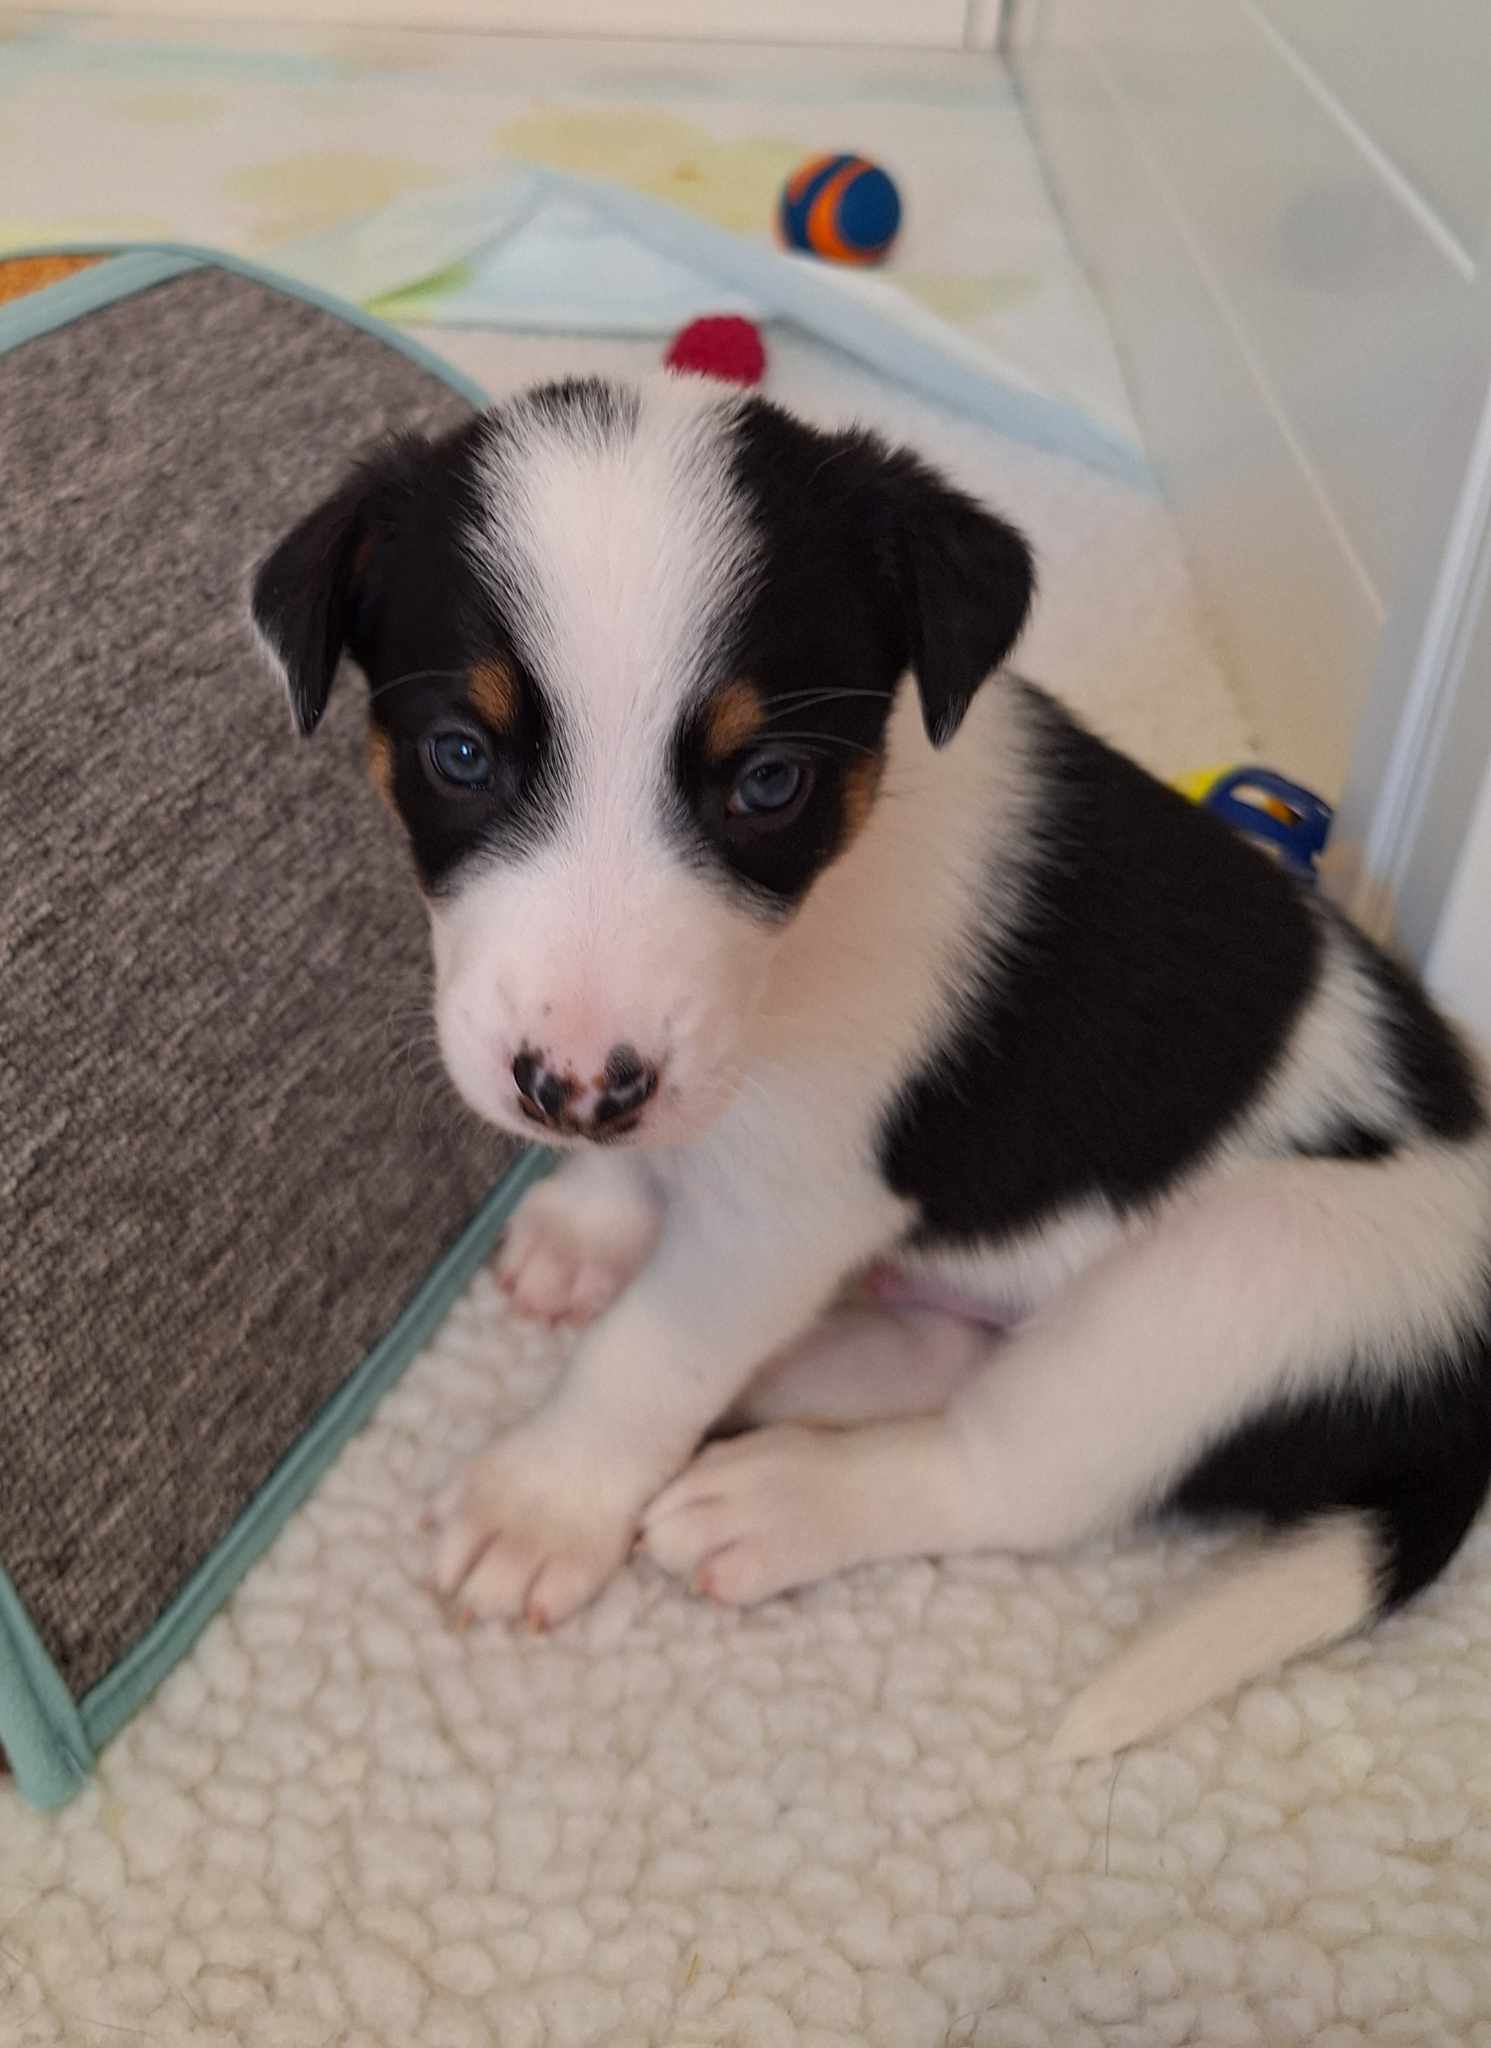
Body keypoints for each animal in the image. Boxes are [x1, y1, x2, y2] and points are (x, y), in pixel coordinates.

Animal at [256, 376, 1491, 1753]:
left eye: (768, 781)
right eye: (459, 753)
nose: (574, 1088)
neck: (819, 917)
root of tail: (1465, 1396)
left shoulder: (794, 1205)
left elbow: (651, 1352)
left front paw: (545, 1499)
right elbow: (644, 1187)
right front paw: (590, 1222)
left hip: (1234, 1282)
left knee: (1006, 1470)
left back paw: (779, 1494)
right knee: (955, 1355)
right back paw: (800, 1367)